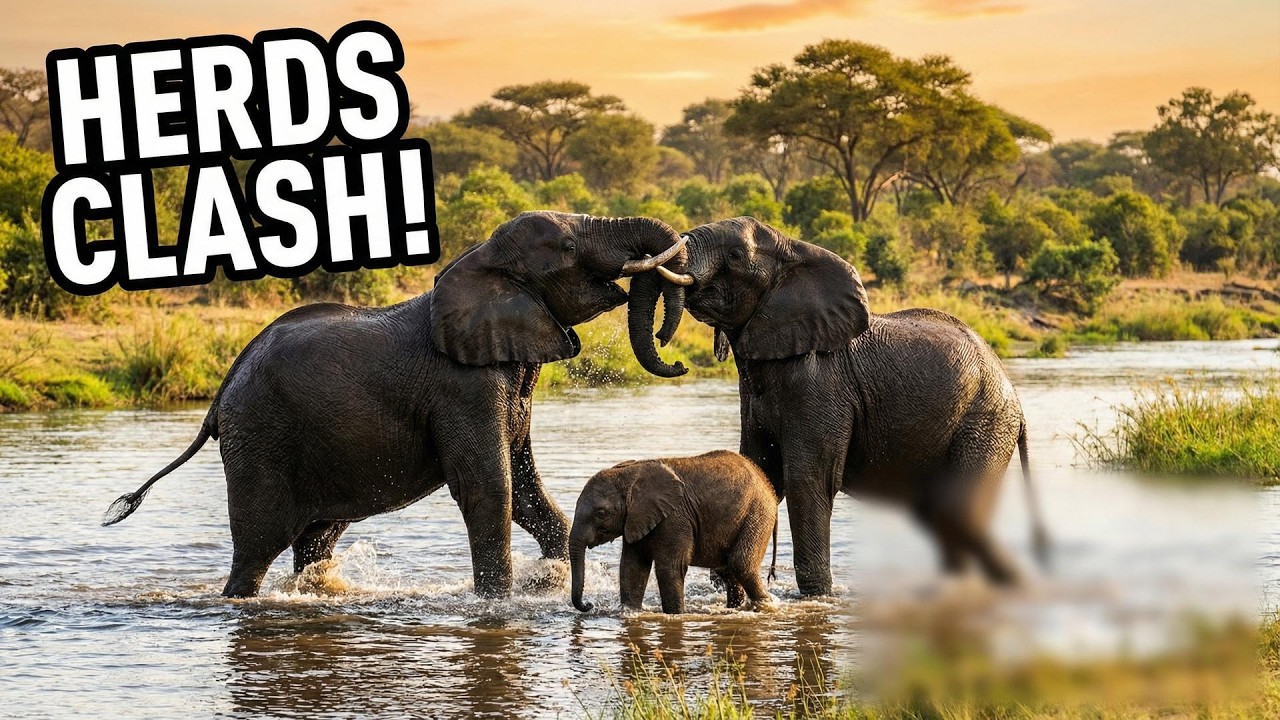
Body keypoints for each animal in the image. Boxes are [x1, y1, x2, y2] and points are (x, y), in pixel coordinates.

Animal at [101, 211, 691, 598]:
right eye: (568, 248)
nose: (680, 361)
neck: (479, 261)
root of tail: (220, 394)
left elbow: (525, 491)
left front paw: (547, 584)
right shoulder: (463, 386)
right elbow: (489, 487)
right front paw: (497, 605)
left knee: (317, 538)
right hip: (259, 439)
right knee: (256, 546)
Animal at [570, 450, 778, 615]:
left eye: (601, 513)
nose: (589, 605)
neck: (630, 474)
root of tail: (767, 484)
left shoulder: (675, 517)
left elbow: (669, 567)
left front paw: (675, 615)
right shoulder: (636, 519)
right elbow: (632, 566)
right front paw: (629, 612)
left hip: (758, 513)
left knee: (740, 563)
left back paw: (767, 605)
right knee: (727, 569)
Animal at [626, 217, 1049, 597]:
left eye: (735, 256)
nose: (674, 356)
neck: (792, 250)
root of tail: (1014, 396)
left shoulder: (821, 383)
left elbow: (806, 479)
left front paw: (817, 597)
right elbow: (760, 471)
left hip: (984, 423)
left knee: (954, 510)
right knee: (942, 514)